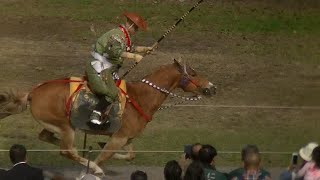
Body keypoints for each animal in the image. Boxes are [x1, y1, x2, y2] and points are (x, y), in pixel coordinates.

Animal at [0, 59, 215, 175]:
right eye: (193, 73)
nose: (211, 87)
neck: (140, 97)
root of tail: (33, 92)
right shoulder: (118, 138)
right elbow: (105, 156)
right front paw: (95, 167)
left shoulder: (125, 138)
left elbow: (129, 155)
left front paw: (100, 147)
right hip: (66, 127)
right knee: (66, 150)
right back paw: (90, 164)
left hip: (56, 126)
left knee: (48, 138)